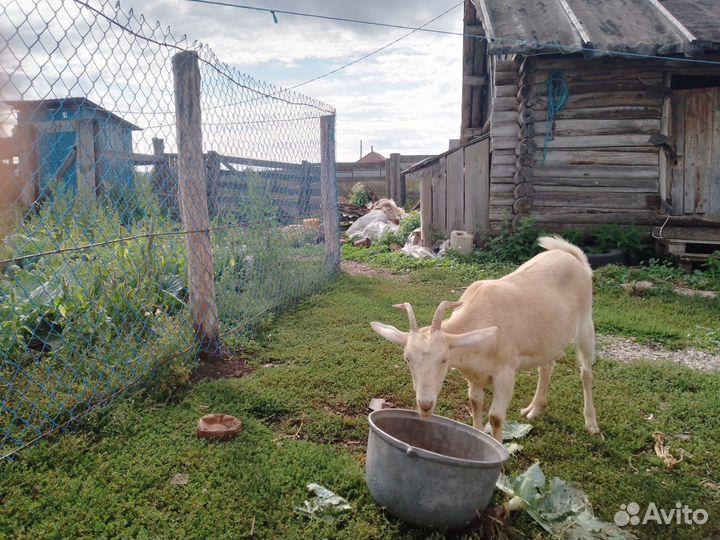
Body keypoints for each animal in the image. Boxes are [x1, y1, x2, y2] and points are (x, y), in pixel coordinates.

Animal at [370, 236, 600, 442]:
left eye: (444, 359)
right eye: (407, 359)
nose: (425, 405)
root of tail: (572, 255)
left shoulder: (506, 374)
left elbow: (496, 417)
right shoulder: (474, 376)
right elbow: (475, 403)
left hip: (586, 324)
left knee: (586, 373)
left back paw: (591, 424)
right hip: (547, 339)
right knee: (546, 367)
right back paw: (534, 410)